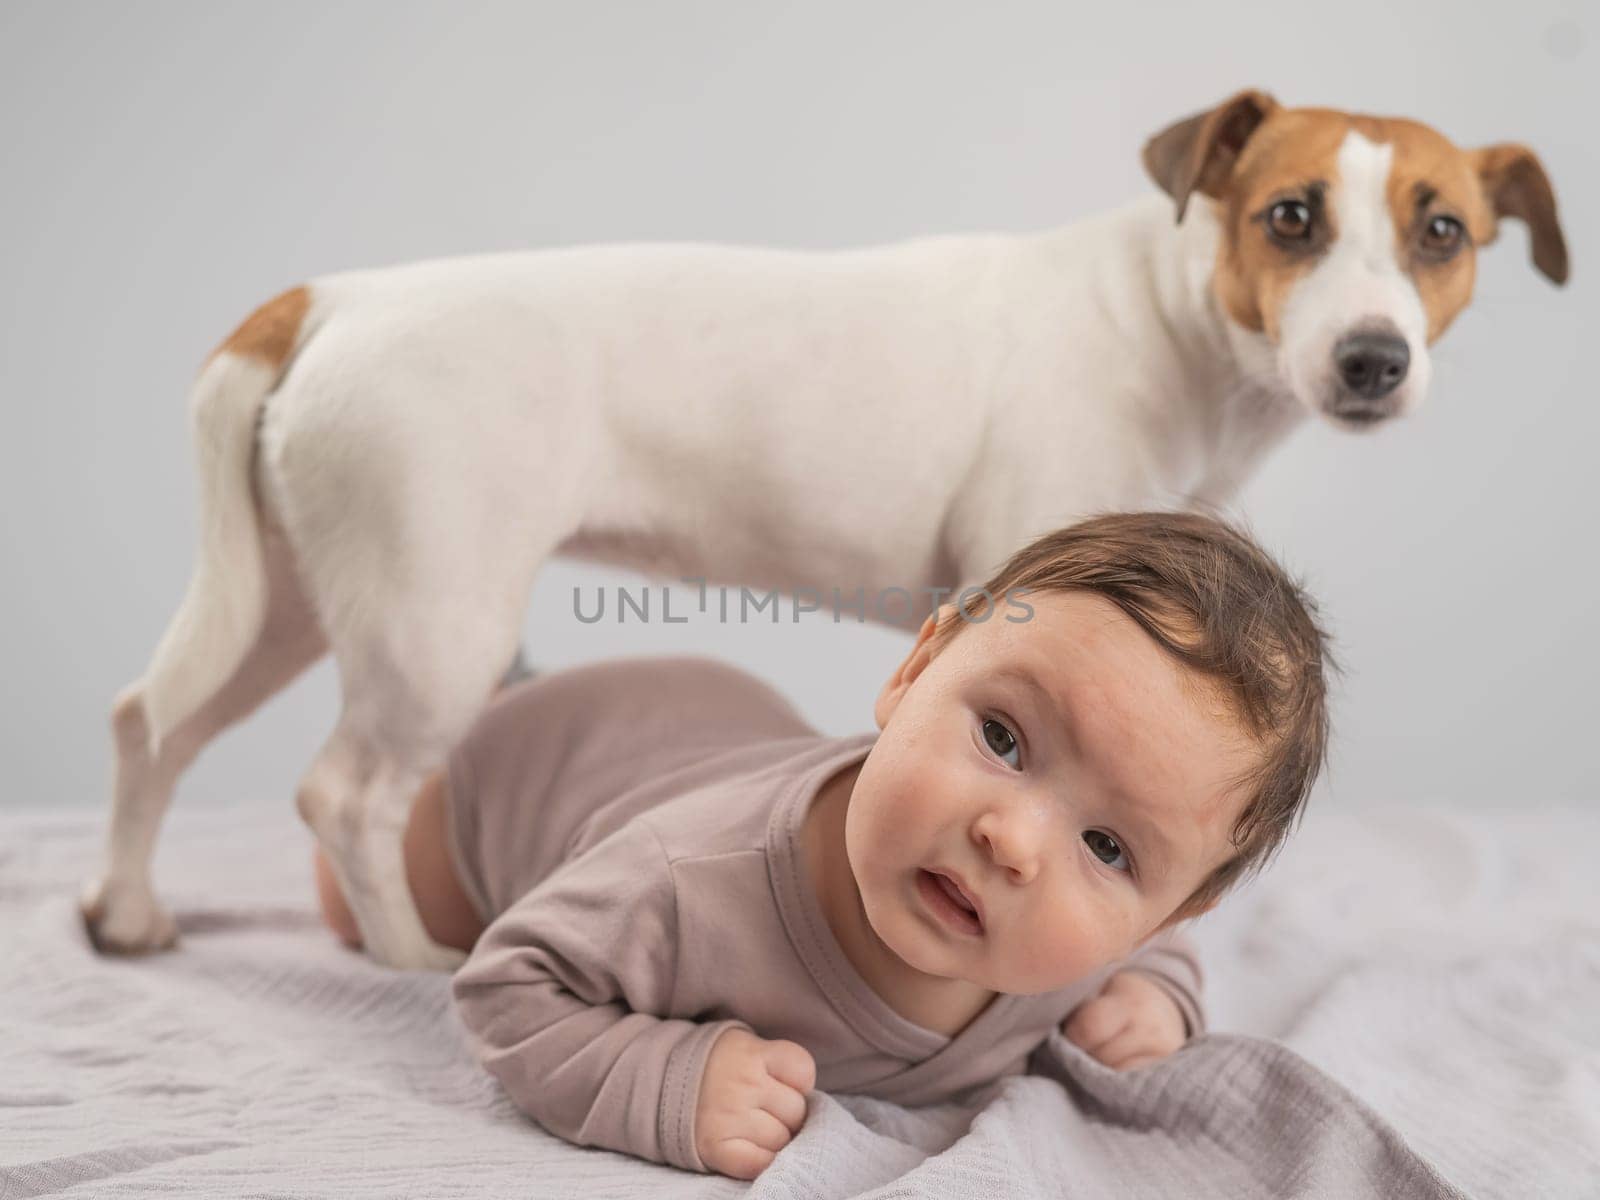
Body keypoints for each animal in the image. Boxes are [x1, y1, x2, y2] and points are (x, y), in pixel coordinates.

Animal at [81, 86, 1568, 966]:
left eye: (1442, 231)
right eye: (1291, 218)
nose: (1373, 359)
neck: (1168, 323)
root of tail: (335, 298)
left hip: (283, 601)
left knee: (153, 727)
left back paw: (130, 911)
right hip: (432, 620)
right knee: (345, 794)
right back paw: (406, 957)